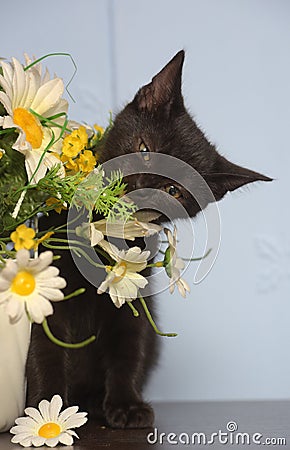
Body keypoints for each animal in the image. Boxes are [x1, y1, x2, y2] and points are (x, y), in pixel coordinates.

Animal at [25, 49, 272, 428]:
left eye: (173, 191)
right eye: (144, 148)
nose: (140, 189)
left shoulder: (134, 295)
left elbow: (131, 347)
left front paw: (126, 405)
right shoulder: (48, 286)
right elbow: (45, 349)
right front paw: (44, 413)